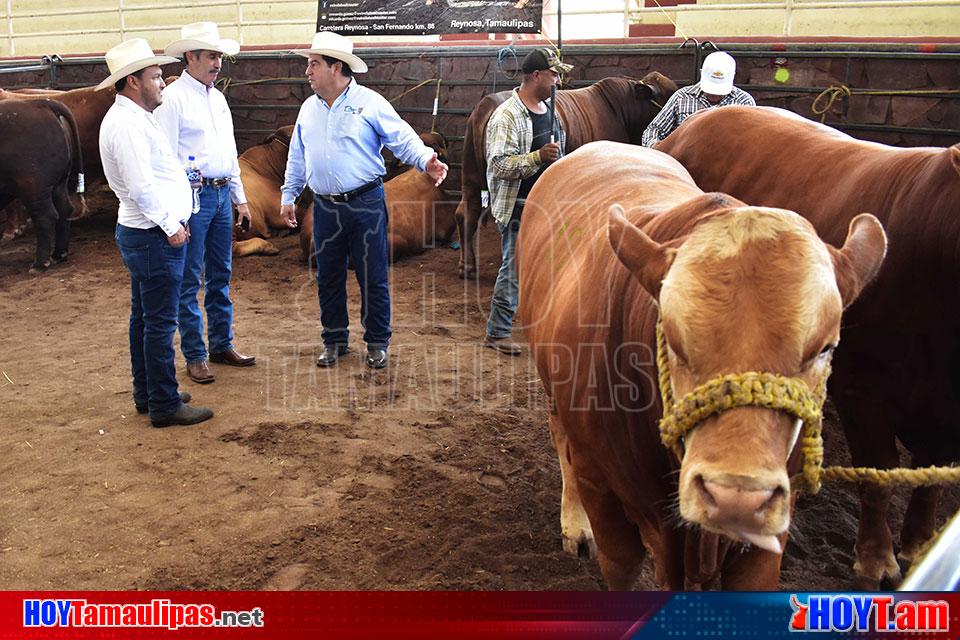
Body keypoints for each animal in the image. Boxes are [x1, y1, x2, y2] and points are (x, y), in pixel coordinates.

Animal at [0, 100, 83, 270]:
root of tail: (40, 102)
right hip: (58, 185)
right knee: (64, 210)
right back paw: (58, 255)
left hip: (33, 187)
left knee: (46, 217)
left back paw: (40, 264)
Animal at [516, 141, 884, 592]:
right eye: (673, 340)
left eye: (825, 348)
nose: (736, 496)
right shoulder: (600, 485)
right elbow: (619, 563)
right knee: (561, 438)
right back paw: (574, 523)